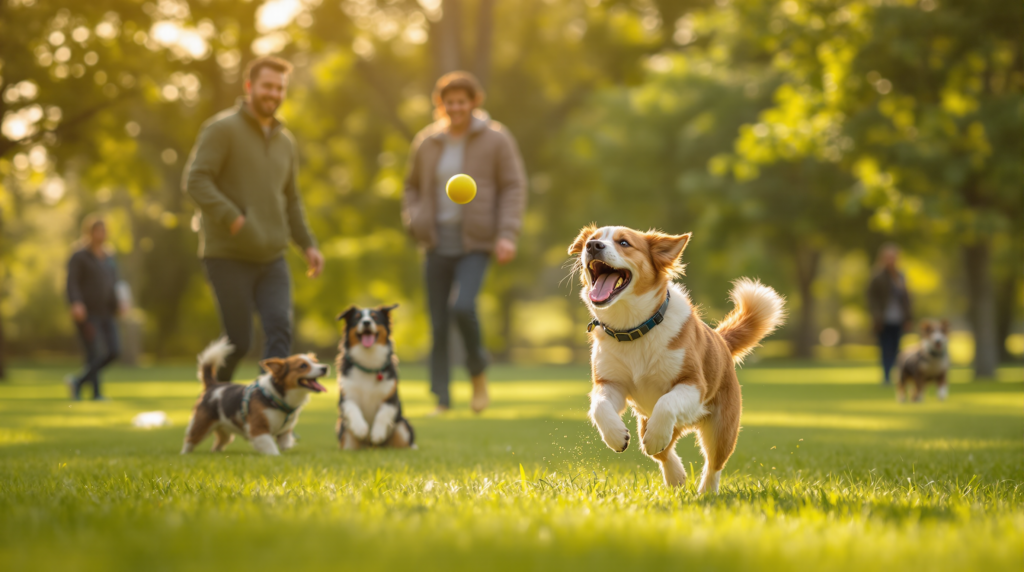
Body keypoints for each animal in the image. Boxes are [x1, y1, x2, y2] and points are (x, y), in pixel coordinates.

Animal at [180, 339, 327, 456]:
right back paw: (184, 455)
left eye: (316, 362)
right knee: (190, 441)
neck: (277, 397)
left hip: (224, 431)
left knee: (219, 442)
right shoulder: (259, 429)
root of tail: (214, 385)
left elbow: (285, 444)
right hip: (201, 425)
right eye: (303, 366)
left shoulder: (285, 432)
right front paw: (277, 457)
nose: (325, 367)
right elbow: (272, 448)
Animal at [335, 306, 415, 450]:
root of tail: (370, 447)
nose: (366, 322)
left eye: (375, 317)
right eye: (357, 318)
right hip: (346, 435)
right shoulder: (346, 397)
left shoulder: (391, 399)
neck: (368, 363)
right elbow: (353, 409)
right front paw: (360, 428)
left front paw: (377, 433)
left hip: (403, 426)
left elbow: (382, 414)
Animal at [569, 226, 782, 495]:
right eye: (591, 239)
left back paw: (706, 491)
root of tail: (722, 341)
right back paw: (675, 476)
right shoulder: (610, 383)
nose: (593, 246)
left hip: (722, 427)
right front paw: (616, 436)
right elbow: (599, 407)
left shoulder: (693, 383)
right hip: (646, 420)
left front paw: (656, 437)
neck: (634, 329)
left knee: (713, 463)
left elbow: (666, 403)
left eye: (624, 243)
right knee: (662, 452)